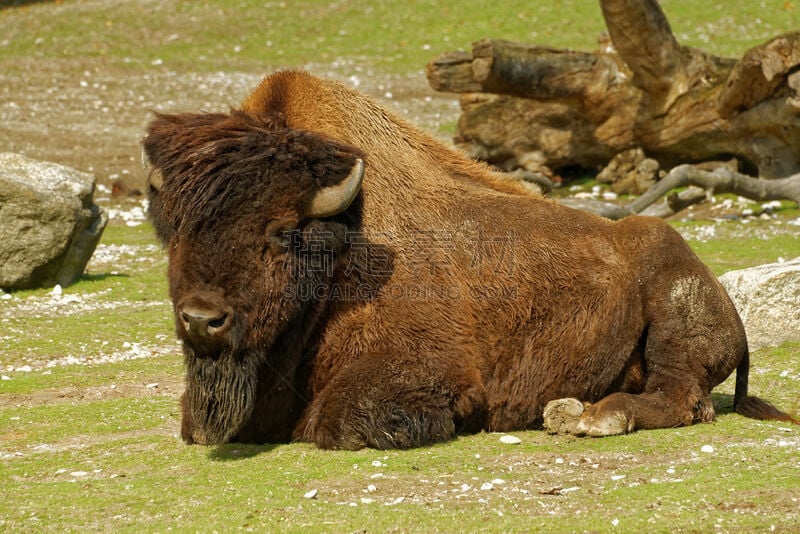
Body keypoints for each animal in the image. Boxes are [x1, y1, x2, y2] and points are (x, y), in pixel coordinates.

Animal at [142, 69, 792, 450]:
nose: (201, 320)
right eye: (174, 228)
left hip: (672, 313)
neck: (343, 240)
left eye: (281, 232)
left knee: (681, 399)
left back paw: (582, 417)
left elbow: (337, 423)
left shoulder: (427, 371)